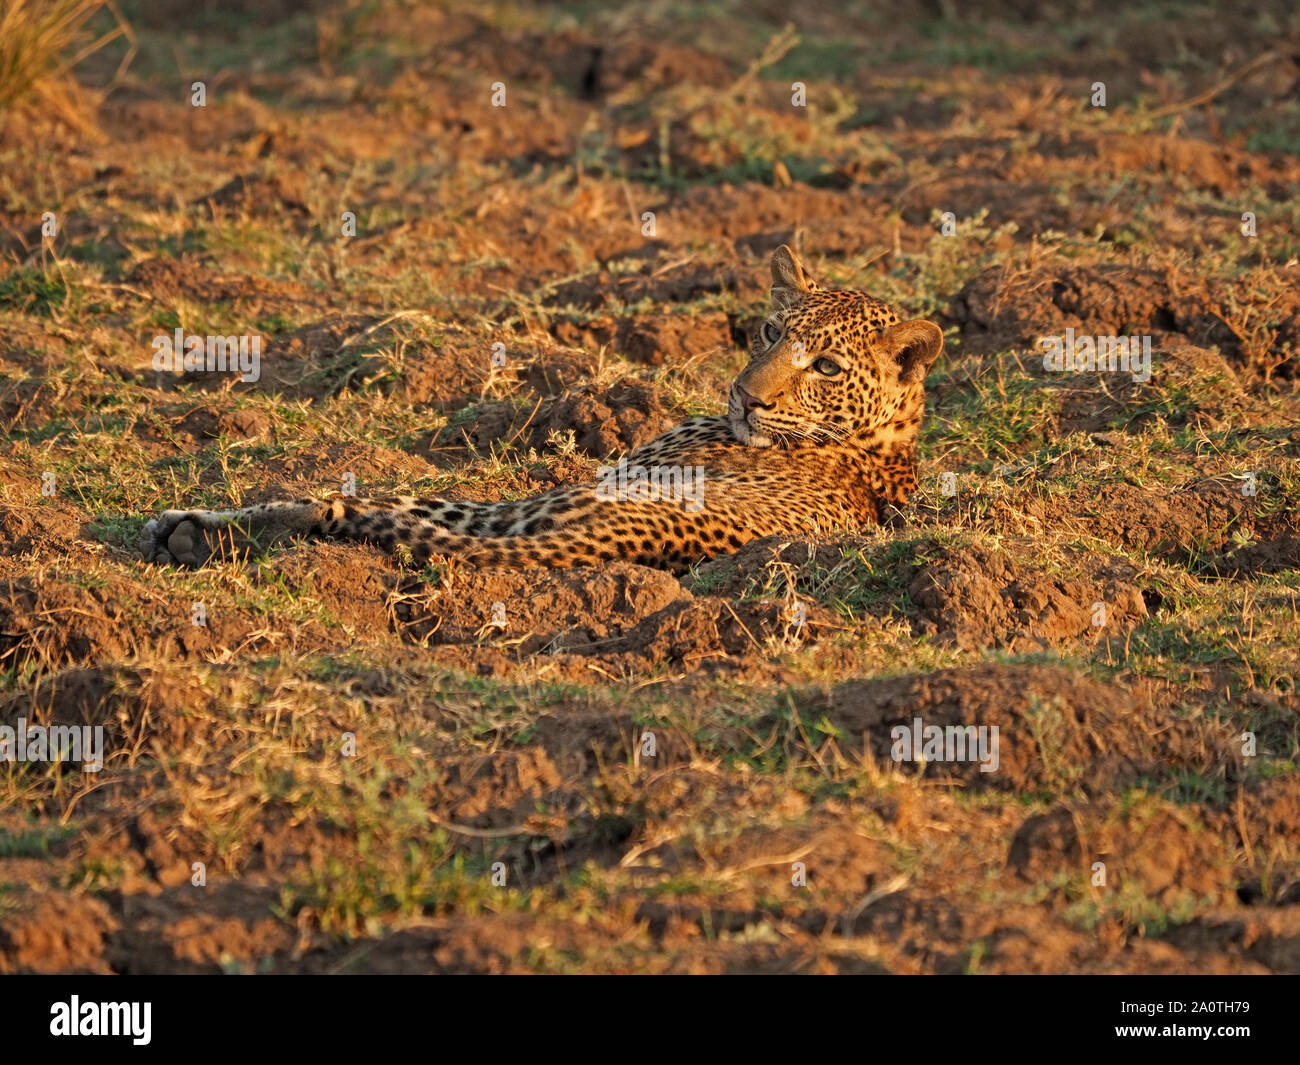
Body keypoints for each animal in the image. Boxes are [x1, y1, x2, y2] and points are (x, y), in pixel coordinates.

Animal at [139, 245, 943, 574]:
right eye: (773, 332)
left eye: (827, 368)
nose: (748, 397)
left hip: (559, 504)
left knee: (362, 512)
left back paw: (205, 535)